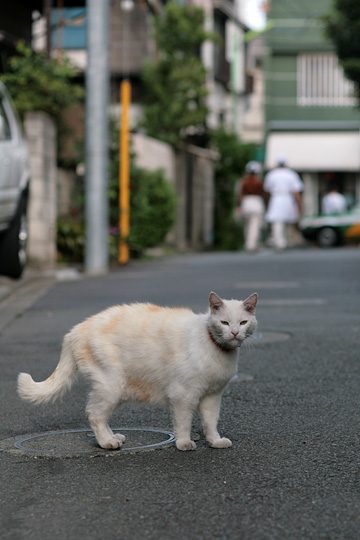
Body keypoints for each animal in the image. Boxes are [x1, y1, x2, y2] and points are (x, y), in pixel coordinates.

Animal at [17, 292, 258, 452]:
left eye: (243, 322)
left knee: (99, 415)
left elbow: (210, 422)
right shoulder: (183, 395)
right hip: (112, 386)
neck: (217, 349)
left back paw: (113, 437)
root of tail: (74, 330)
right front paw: (184, 443)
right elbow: (183, 422)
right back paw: (107, 443)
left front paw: (215, 441)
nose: (234, 333)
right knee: (94, 414)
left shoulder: (212, 396)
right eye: (224, 322)